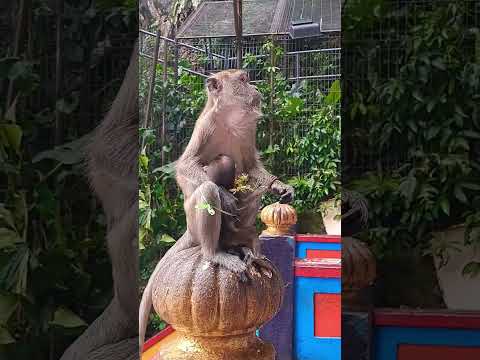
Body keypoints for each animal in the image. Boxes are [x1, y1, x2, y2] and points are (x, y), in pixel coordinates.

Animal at [139, 68, 294, 348]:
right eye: (243, 80)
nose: (255, 87)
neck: (230, 120)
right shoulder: (205, 126)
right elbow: (186, 167)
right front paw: (223, 193)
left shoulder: (248, 130)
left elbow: (251, 169)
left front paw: (279, 186)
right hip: (193, 220)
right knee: (206, 192)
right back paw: (215, 251)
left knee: (250, 196)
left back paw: (246, 247)